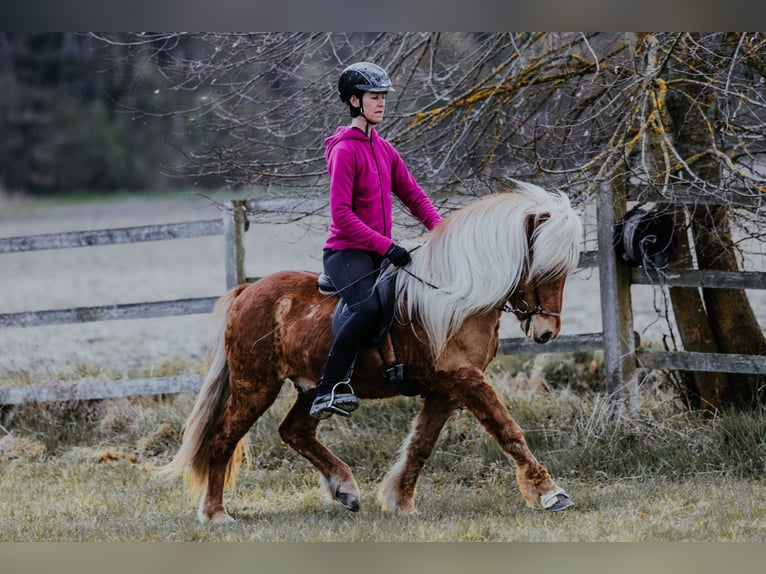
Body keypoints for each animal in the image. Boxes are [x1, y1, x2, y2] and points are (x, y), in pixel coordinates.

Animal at [160, 180, 583, 523]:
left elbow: (421, 445)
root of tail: (247, 291)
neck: (458, 295)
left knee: (294, 431)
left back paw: (344, 488)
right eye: (544, 270)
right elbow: (508, 431)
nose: (546, 333)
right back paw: (215, 514)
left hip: (313, 387)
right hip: (255, 385)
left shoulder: (447, 387)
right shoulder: (465, 378)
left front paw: (401, 502)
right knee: (222, 440)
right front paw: (551, 494)